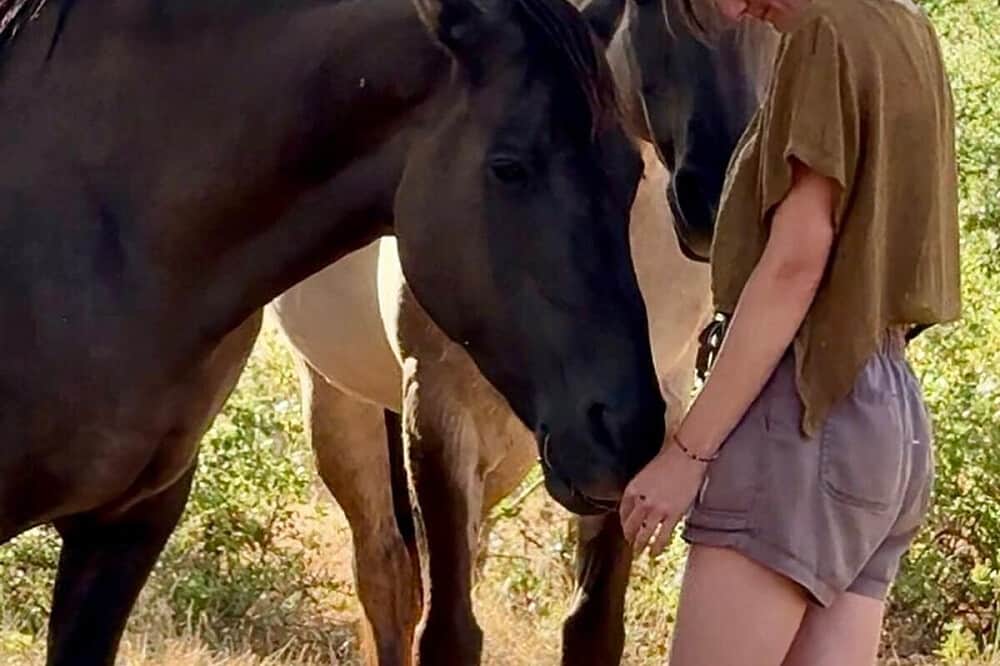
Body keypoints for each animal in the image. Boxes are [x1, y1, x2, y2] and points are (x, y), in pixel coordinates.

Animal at [272, 1, 778, 663]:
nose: (717, 197)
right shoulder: (438, 409)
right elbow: (449, 630)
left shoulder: (646, 417)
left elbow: (593, 626)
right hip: (340, 403)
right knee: (387, 576)